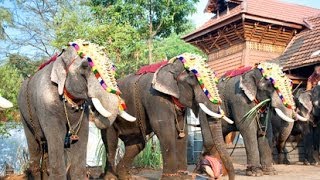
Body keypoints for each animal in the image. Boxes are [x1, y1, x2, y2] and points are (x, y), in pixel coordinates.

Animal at [17, 40, 135, 179]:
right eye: (85, 66)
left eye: (113, 67)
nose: (95, 112)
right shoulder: (46, 106)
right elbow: (56, 136)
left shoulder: (82, 113)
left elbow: (82, 136)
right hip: (23, 114)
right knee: (35, 147)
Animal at [102, 53, 235, 180]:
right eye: (193, 79)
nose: (220, 176)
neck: (171, 64)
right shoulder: (155, 97)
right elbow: (164, 129)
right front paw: (172, 177)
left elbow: (182, 132)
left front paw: (183, 176)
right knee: (111, 142)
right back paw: (111, 177)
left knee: (136, 145)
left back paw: (125, 177)